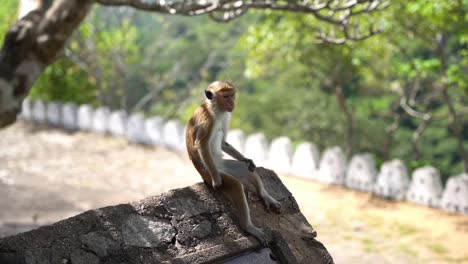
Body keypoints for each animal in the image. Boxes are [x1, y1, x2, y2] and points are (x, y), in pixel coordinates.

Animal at [186, 81, 282, 245]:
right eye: (226, 96)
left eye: (232, 95)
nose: (232, 102)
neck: (216, 109)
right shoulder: (207, 120)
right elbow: (201, 146)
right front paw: (217, 182)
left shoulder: (226, 116)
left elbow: (223, 143)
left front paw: (246, 159)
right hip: (210, 170)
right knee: (235, 184)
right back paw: (248, 227)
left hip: (223, 165)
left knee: (246, 169)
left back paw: (265, 196)